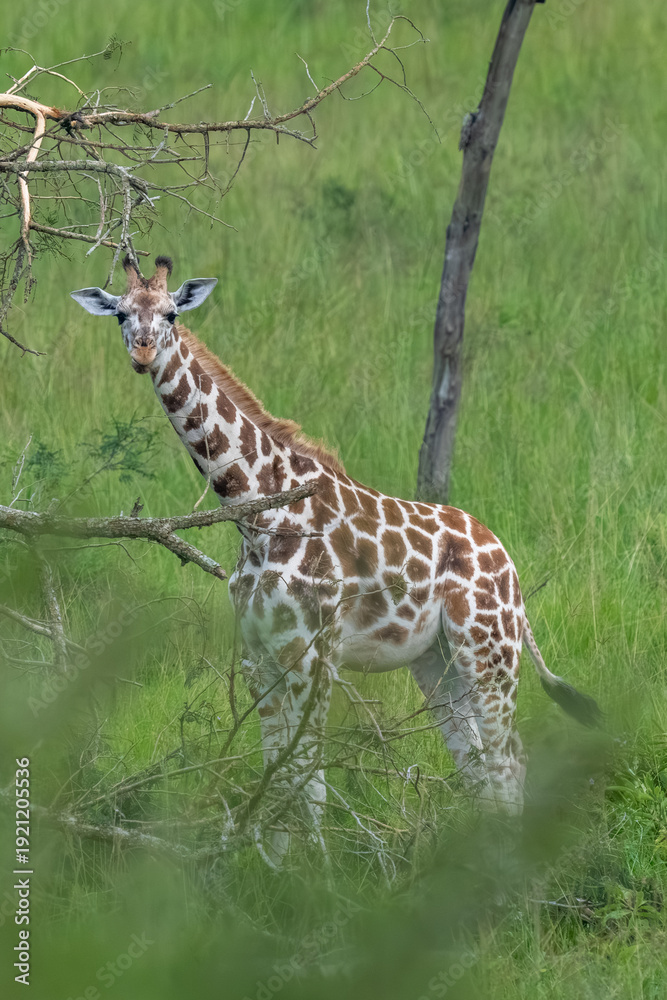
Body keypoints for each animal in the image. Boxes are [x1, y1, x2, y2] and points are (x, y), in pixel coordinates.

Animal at [71, 256, 601, 859]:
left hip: (490, 651)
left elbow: (310, 778)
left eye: (171, 313)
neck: (255, 510)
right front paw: (274, 869)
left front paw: (318, 874)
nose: (141, 353)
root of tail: (509, 564)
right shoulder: (259, 654)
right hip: (436, 661)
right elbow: (276, 772)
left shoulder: (314, 653)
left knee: (508, 761)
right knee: (476, 763)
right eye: (120, 313)